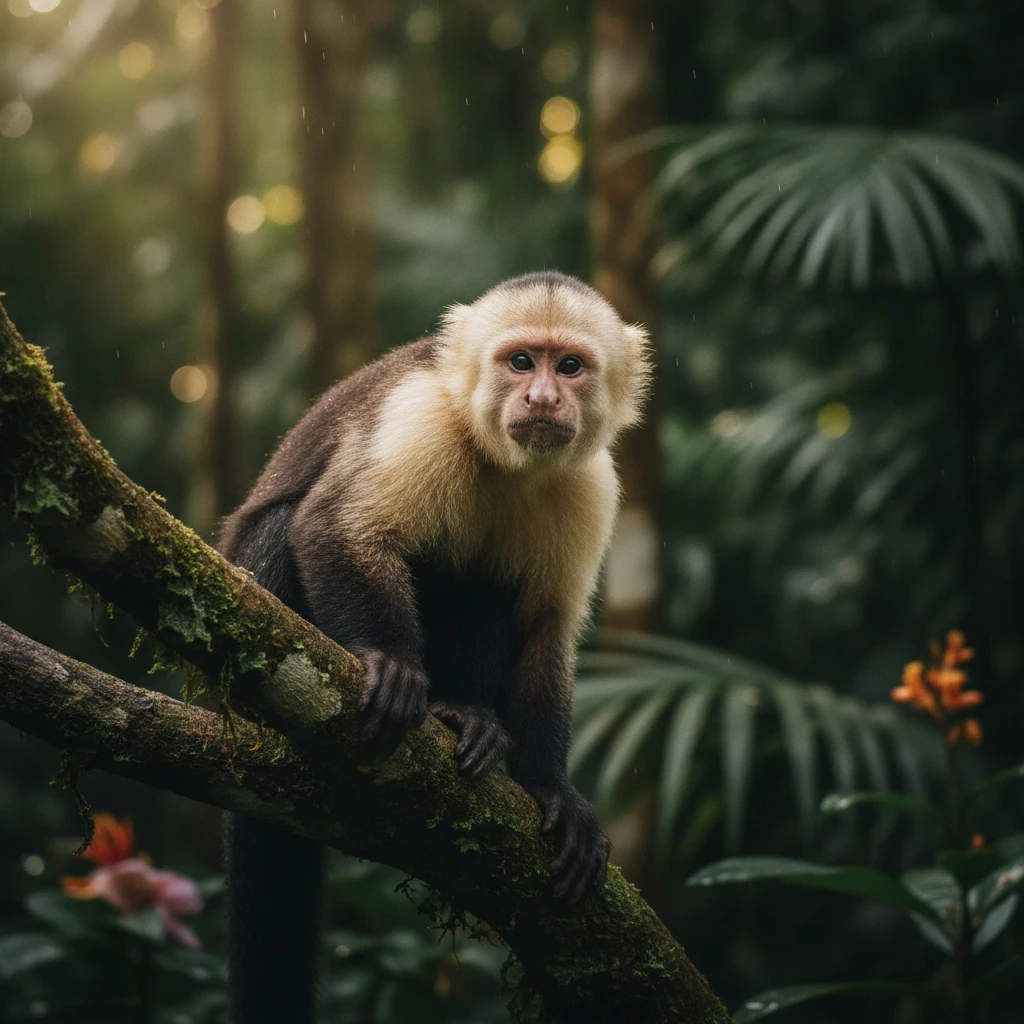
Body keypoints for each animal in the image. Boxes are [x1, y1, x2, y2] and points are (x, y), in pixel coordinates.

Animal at [217, 271, 651, 1023]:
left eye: (569, 366)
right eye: (520, 362)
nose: (543, 398)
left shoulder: (592, 484)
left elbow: (546, 632)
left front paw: (551, 786)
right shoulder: (416, 416)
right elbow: (336, 528)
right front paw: (391, 665)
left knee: (486, 583)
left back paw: (466, 715)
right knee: (283, 527)